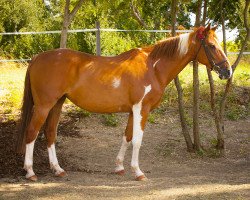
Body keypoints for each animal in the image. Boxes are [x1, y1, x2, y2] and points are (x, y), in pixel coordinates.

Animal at [16, 24, 231, 180]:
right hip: (43, 106)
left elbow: (126, 137)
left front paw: (119, 167)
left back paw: (57, 169)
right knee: (32, 132)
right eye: (212, 46)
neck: (153, 67)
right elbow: (137, 140)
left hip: (57, 104)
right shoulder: (141, 109)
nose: (227, 71)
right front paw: (138, 172)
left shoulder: (131, 111)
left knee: (50, 133)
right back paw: (30, 172)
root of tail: (37, 58)